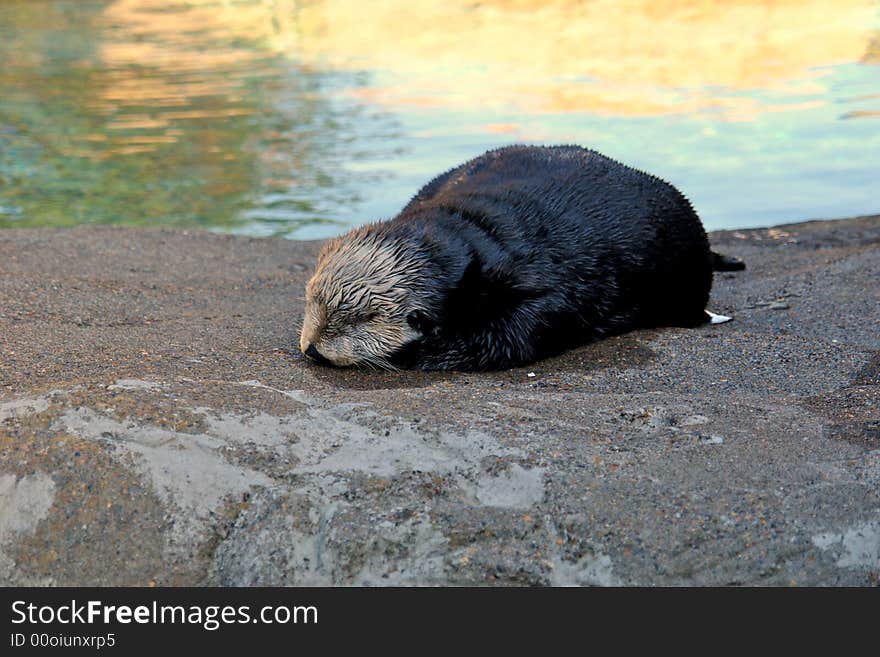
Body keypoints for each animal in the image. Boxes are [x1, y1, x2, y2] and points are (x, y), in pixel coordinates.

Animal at [300, 145, 744, 368]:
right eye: (310, 297)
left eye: (363, 319)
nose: (312, 347)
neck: (470, 231)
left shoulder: (544, 291)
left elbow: (515, 335)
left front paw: (419, 352)